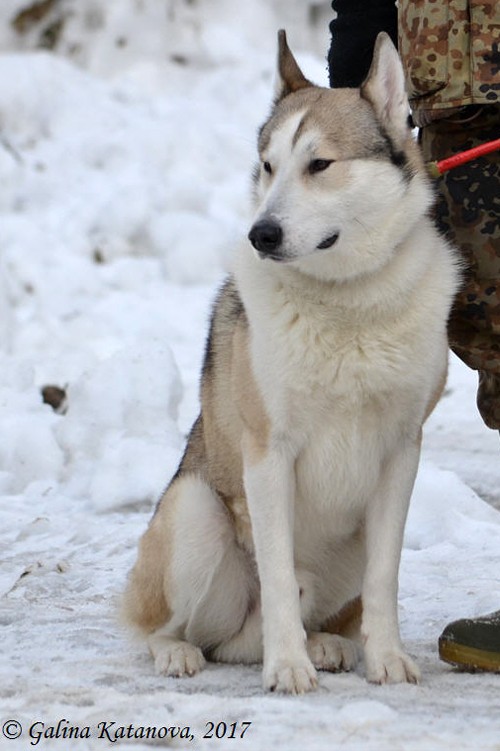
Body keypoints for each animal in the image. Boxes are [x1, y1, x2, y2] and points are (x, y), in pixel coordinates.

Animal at [123, 30, 459, 694]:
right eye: (269, 166)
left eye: (319, 165)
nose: (263, 234)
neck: (349, 302)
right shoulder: (269, 454)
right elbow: (278, 575)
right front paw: (287, 667)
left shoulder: (401, 452)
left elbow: (385, 578)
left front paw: (386, 658)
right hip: (197, 514)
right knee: (179, 630)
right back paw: (186, 653)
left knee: (273, 630)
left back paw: (328, 643)